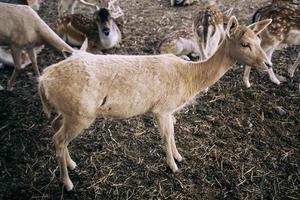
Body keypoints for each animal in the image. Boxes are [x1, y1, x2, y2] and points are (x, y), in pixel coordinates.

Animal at [38, 16, 274, 190]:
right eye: (244, 43)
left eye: (259, 41)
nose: (268, 64)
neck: (190, 80)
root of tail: (43, 80)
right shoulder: (162, 108)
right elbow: (166, 136)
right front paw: (173, 167)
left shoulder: (169, 110)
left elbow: (173, 133)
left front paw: (179, 157)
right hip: (81, 113)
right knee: (58, 139)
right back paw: (67, 183)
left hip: (68, 111)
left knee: (55, 128)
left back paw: (72, 164)